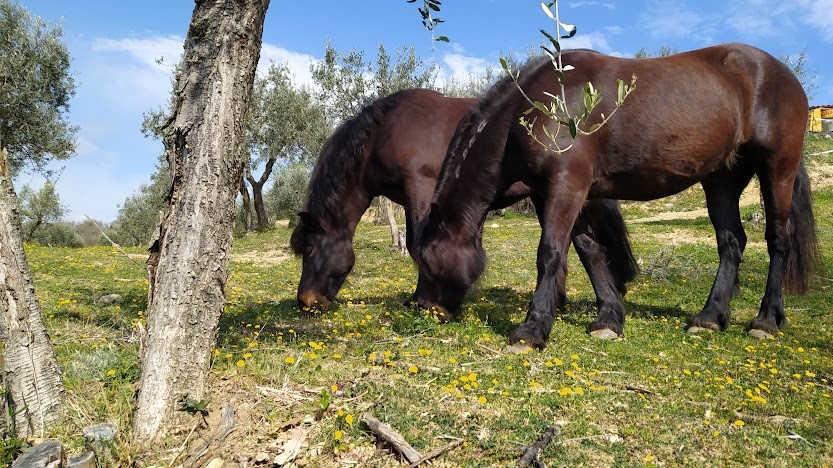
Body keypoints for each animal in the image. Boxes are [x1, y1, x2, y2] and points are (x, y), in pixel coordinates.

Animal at [290, 88, 637, 322]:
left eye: (308, 250)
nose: (305, 301)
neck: (385, 132)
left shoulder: (422, 188)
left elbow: (417, 244)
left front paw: (426, 302)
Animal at [415, 43, 818, 349]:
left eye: (427, 261)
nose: (424, 308)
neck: (538, 107)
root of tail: (782, 74)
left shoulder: (565, 187)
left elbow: (550, 253)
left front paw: (532, 330)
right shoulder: (560, 194)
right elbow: (589, 252)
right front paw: (609, 317)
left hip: (777, 169)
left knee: (778, 240)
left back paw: (765, 320)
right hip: (721, 180)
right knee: (731, 243)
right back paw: (709, 316)